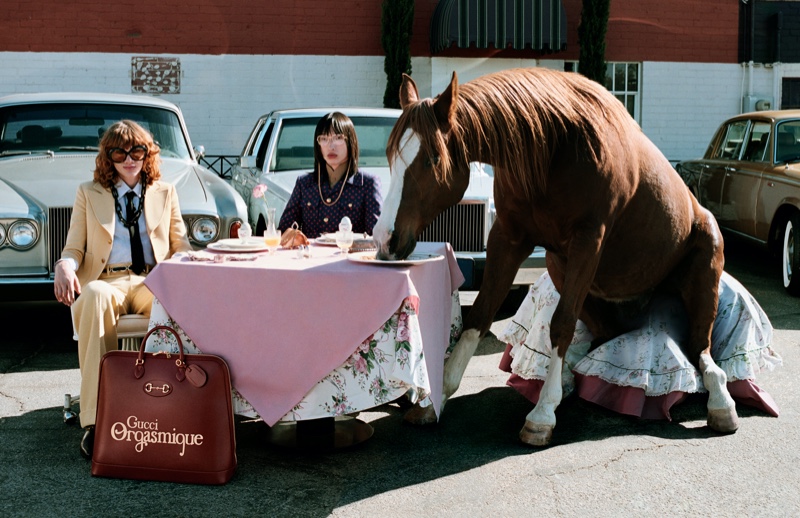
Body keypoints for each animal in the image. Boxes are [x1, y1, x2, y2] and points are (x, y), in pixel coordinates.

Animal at [376, 68, 736, 446]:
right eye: (390, 154)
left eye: (432, 158)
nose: (386, 239)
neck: (555, 147)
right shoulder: (507, 238)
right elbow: (480, 315)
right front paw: (437, 399)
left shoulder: (587, 242)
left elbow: (561, 324)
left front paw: (543, 413)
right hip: (562, 270)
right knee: (605, 338)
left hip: (703, 272)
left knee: (701, 350)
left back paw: (721, 401)